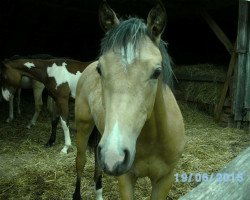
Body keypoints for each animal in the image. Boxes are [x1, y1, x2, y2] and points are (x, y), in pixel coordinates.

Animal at [73, 1, 185, 200]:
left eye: (157, 72)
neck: (153, 140)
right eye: (101, 69)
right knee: (81, 161)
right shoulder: (126, 179)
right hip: (84, 127)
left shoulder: (165, 179)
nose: (113, 155)